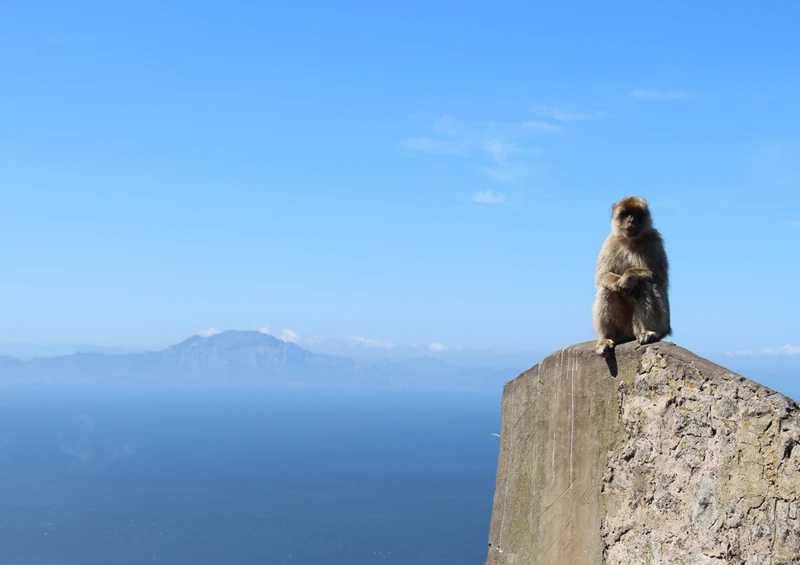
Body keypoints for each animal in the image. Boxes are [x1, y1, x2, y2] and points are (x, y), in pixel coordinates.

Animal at [592, 196, 671, 357]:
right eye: (625, 214)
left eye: (636, 214)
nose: (631, 220)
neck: (631, 241)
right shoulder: (610, 241)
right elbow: (601, 275)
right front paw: (620, 282)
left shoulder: (654, 239)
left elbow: (658, 276)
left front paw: (628, 277)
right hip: (623, 328)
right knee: (606, 289)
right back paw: (605, 339)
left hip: (663, 322)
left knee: (645, 284)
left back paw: (647, 332)